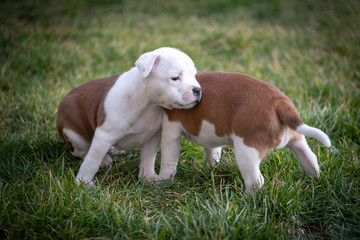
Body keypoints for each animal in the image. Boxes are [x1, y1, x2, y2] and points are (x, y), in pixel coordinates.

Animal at [57, 47, 201, 185]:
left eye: (194, 76)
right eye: (175, 78)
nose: (198, 90)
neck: (149, 104)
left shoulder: (153, 135)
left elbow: (148, 157)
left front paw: (148, 177)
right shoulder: (104, 136)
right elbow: (92, 161)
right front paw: (84, 182)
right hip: (73, 134)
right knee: (80, 151)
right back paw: (103, 160)